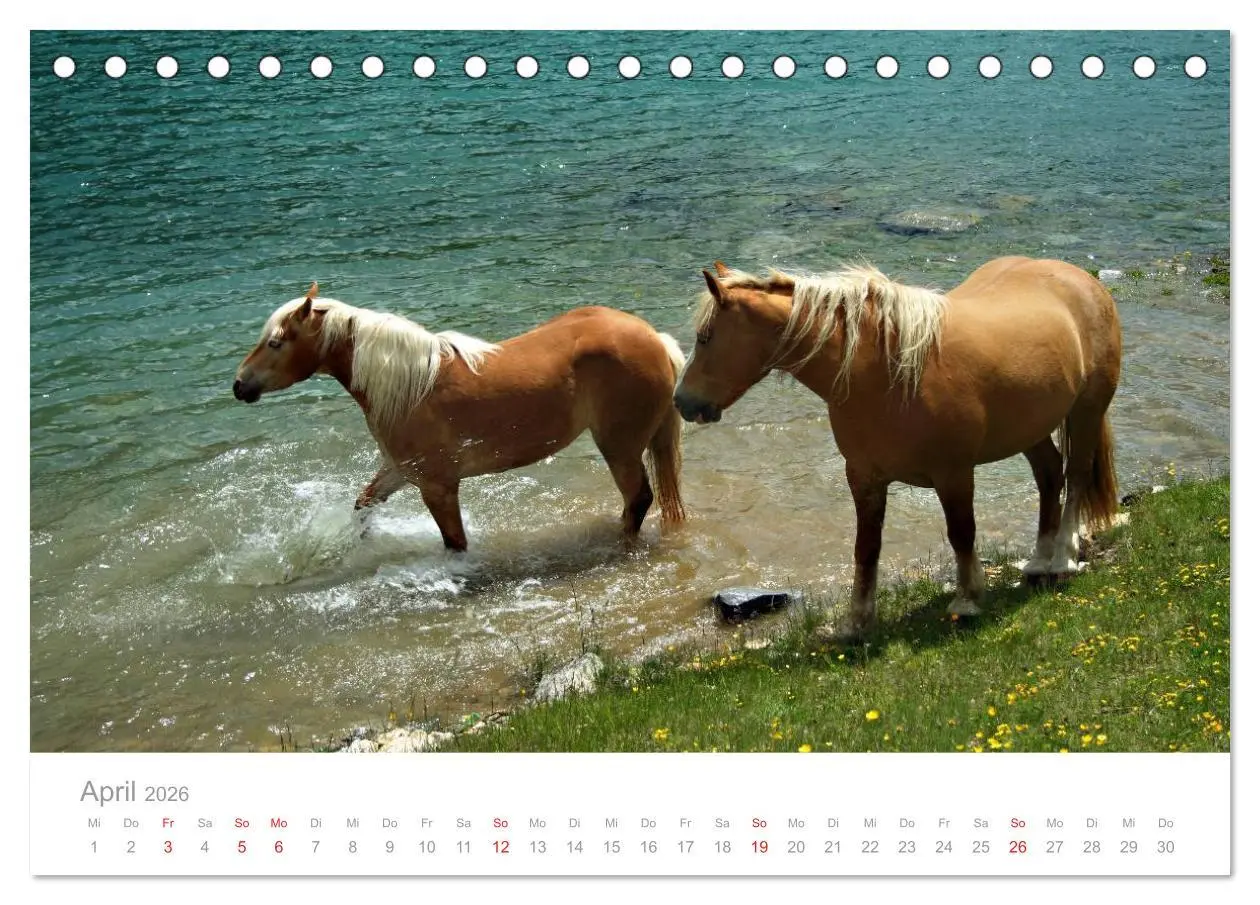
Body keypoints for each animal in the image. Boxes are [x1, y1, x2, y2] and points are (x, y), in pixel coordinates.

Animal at [233, 283, 686, 551]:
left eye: (275, 342)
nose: (239, 385)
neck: (412, 386)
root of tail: (655, 339)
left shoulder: (437, 486)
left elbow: (455, 543)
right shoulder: (398, 471)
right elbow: (363, 503)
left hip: (619, 446)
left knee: (638, 499)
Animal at [673, 257, 1122, 636]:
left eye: (705, 337)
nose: (681, 401)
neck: (887, 371)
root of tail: (1081, 279)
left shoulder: (953, 473)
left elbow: (962, 533)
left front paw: (967, 599)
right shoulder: (864, 477)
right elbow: (866, 548)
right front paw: (856, 620)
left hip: (1086, 410)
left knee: (1075, 476)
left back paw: (1062, 558)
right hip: (1031, 428)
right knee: (1049, 475)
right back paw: (1038, 561)